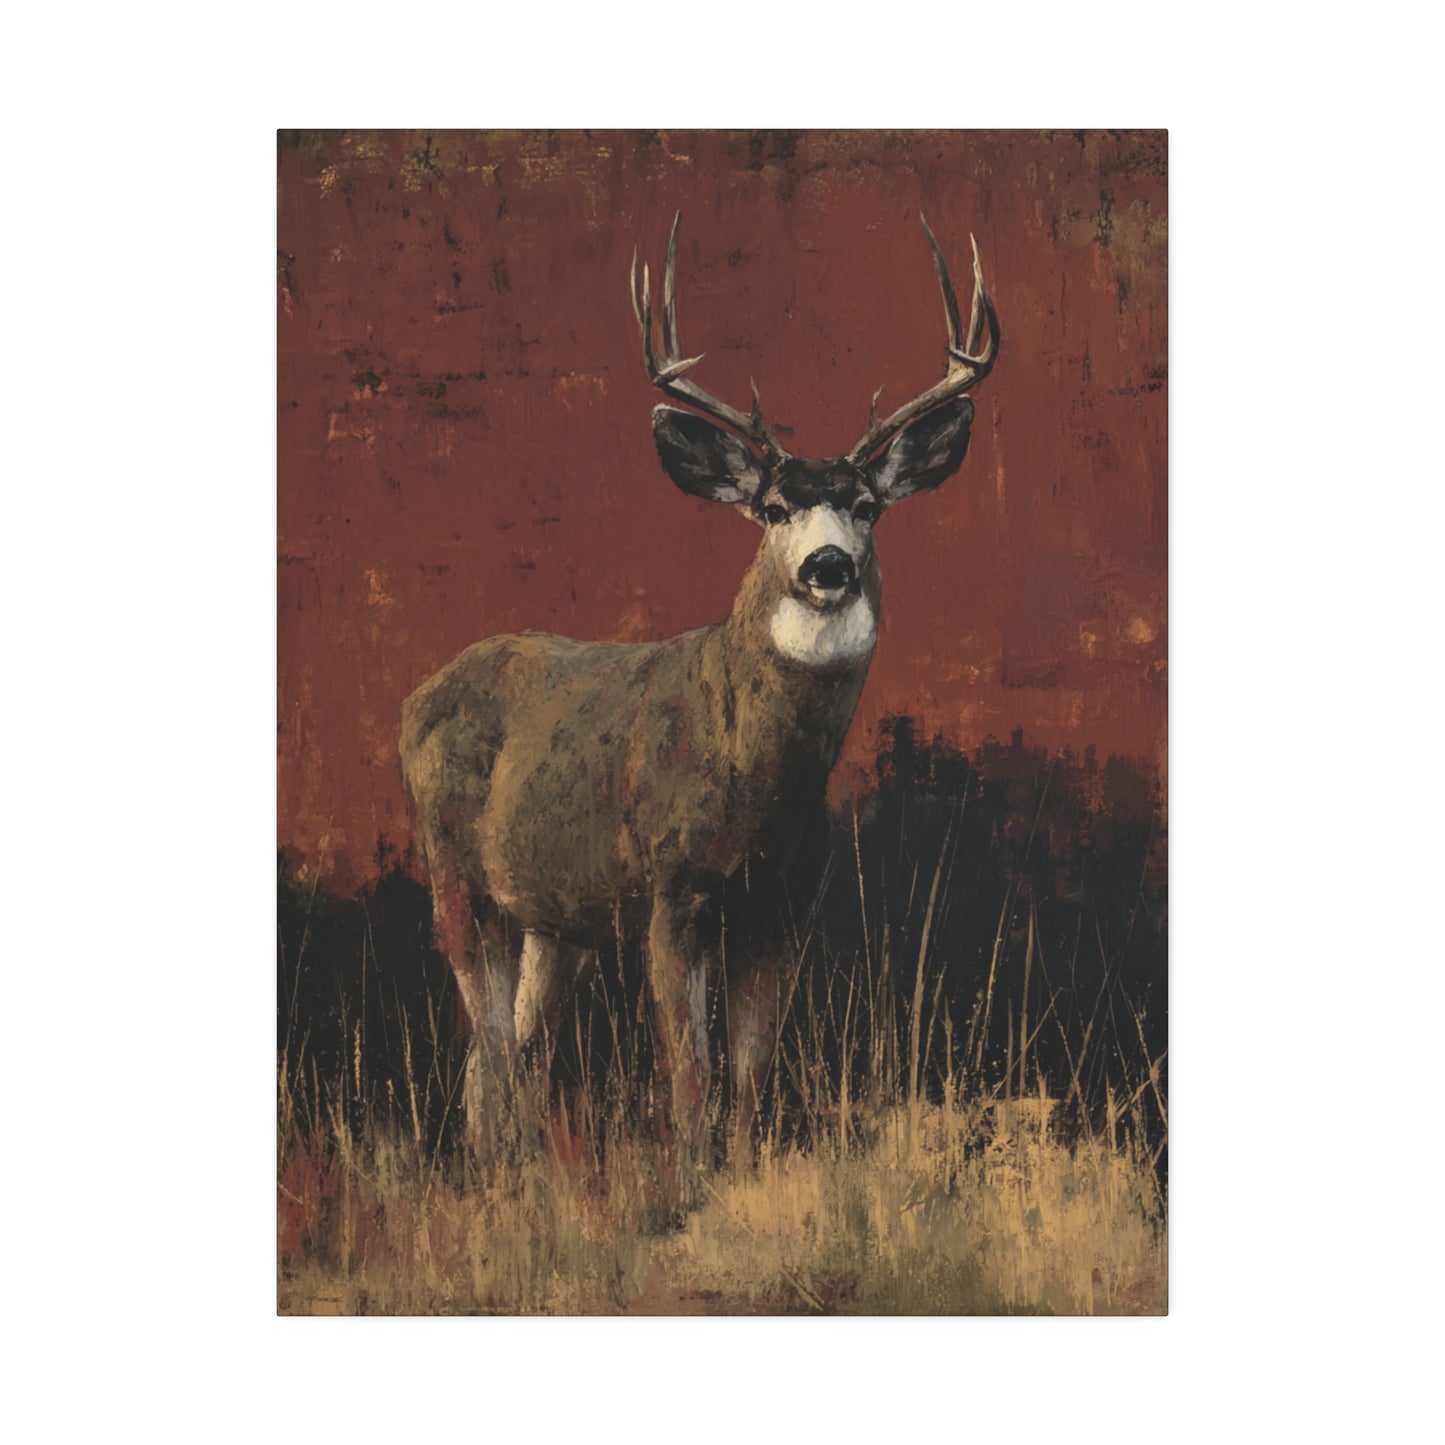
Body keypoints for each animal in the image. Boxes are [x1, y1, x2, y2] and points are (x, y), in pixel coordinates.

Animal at [399, 213, 999, 1183]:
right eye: (771, 507)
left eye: (867, 506)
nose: (826, 566)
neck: (753, 780)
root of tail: (417, 693)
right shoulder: (669, 887)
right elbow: (689, 1068)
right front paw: (685, 1184)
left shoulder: (782, 904)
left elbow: (750, 1070)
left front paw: (741, 1176)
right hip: (454, 870)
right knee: (486, 1041)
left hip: (552, 916)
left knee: (512, 1049)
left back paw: (517, 1177)